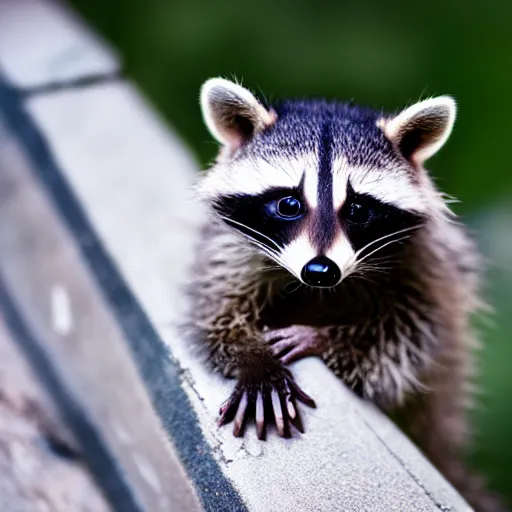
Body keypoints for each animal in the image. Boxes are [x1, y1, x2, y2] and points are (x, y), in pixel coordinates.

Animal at [186, 77, 506, 512]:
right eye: (289, 203)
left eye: (357, 209)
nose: (320, 271)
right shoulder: (235, 249)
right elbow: (216, 311)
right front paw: (253, 357)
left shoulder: (426, 265)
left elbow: (404, 339)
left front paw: (324, 339)